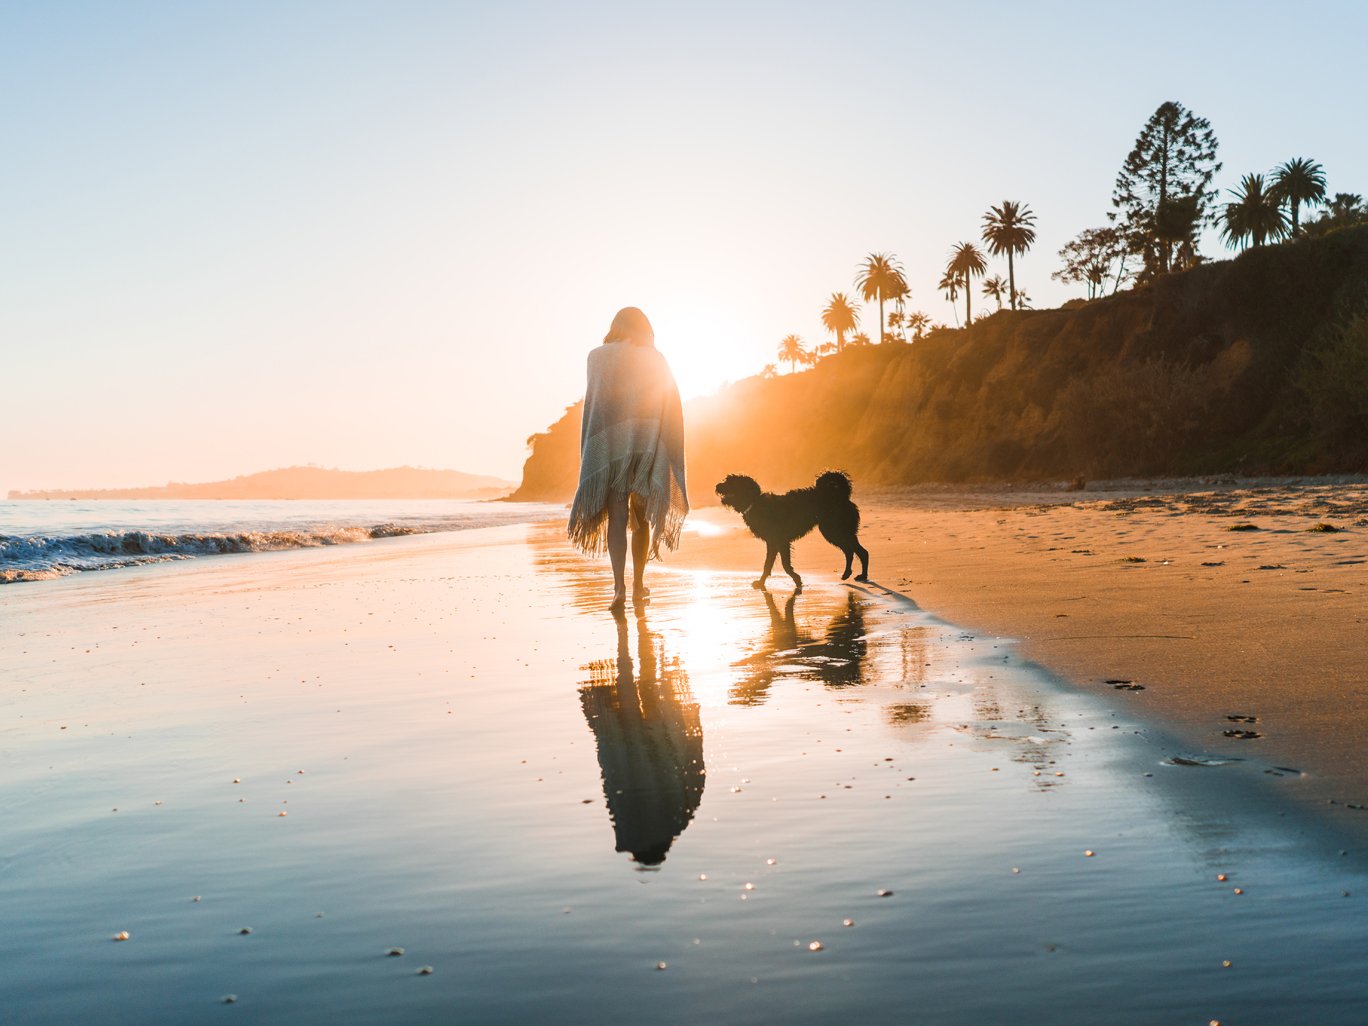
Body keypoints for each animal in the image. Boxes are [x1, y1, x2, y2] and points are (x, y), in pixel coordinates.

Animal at [711, 470, 870, 590]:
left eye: (731, 482)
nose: (717, 485)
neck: (755, 503)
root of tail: (842, 495)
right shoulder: (773, 542)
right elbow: (768, 565)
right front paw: (762, 582)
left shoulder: (780, 541)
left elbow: (784, 565)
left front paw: (796, 579)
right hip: (837, 531)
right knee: (851, 551)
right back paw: (849, 574)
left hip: (834, 530)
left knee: (860, 551)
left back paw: (861, 575)